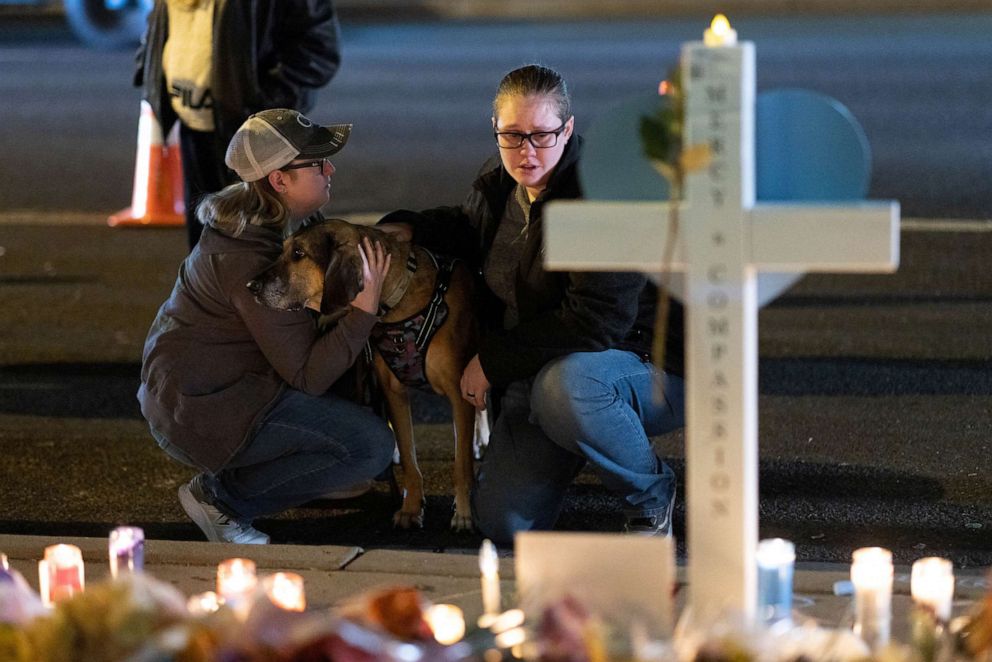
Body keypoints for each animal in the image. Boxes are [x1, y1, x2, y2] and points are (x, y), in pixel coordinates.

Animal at [250, 220, 478, 532]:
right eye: (282, 249)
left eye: (298, 253)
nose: (251, 286)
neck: (398, 303)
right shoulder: (393, 392)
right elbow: (409, 459)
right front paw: (410, 508)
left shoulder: (459, 393)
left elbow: (461, 464)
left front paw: (464, 513)